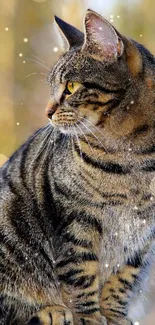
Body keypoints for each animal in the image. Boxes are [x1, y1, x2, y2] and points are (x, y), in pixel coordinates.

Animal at [0, 9, 155, 324]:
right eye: (51, 87)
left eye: (71, 87)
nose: (47, 112)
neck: (134, 156)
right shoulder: (75, 216)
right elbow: (80, 272)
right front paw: (90, 316)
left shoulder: (143, 234)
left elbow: (124, 277)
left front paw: (113, 315)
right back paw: (51, 310)